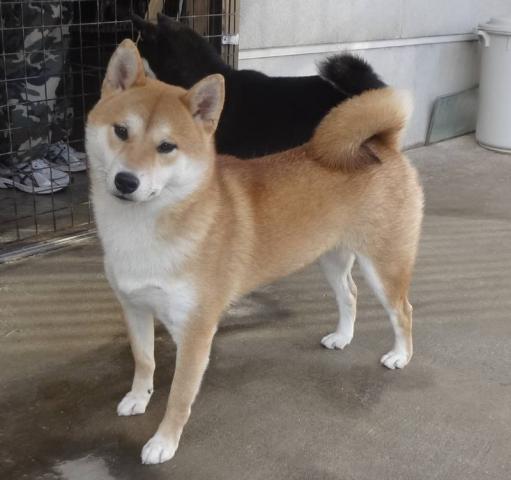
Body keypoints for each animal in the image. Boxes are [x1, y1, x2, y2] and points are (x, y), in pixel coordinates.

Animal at [86, 40, 423, 465]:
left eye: (167, 147)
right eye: (121, 131)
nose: (126, 181)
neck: (145, 229)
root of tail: (381, 144)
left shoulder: (195, 331)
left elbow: (179, 396)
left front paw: (164, 441)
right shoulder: (134, 307)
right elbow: (144, 360)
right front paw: (138, 397)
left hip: (385, 265)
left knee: (402, 311)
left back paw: (400, 356)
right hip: (331, 258)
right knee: (350, 295)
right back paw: (342, 337)